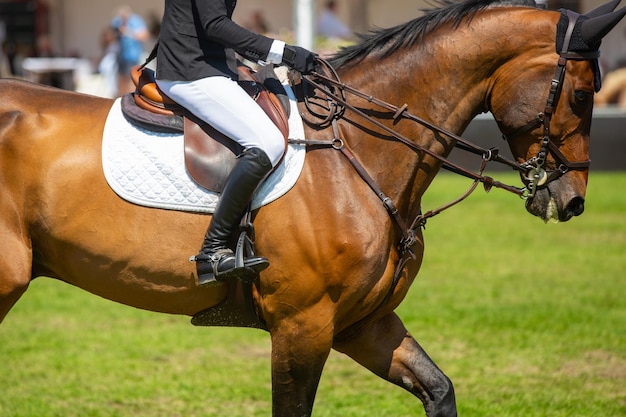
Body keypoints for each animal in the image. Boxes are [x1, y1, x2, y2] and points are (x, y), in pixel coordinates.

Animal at [1, 0, 624, 416]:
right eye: (581, 94)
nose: (571, 201)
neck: (360, 151)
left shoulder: (362, 322)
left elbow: (439, 388)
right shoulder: (304, 325)